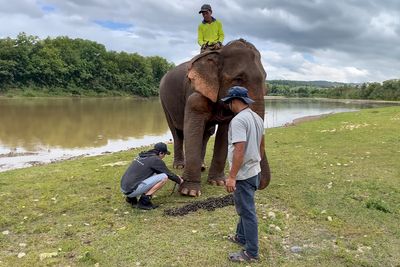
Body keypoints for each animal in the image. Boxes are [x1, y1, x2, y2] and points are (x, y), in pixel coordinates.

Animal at [160, 38, 272, 197]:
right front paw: (190, 192)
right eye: (238, 79)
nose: (259, 183)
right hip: (164, 101)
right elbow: (192, 129)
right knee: (177, 133)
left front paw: (218, 182)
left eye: (265, 78)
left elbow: (224, 132)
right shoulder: (195, 96)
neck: (219, 52)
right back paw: (180, 165)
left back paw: (201, 166)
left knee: (207, 133)